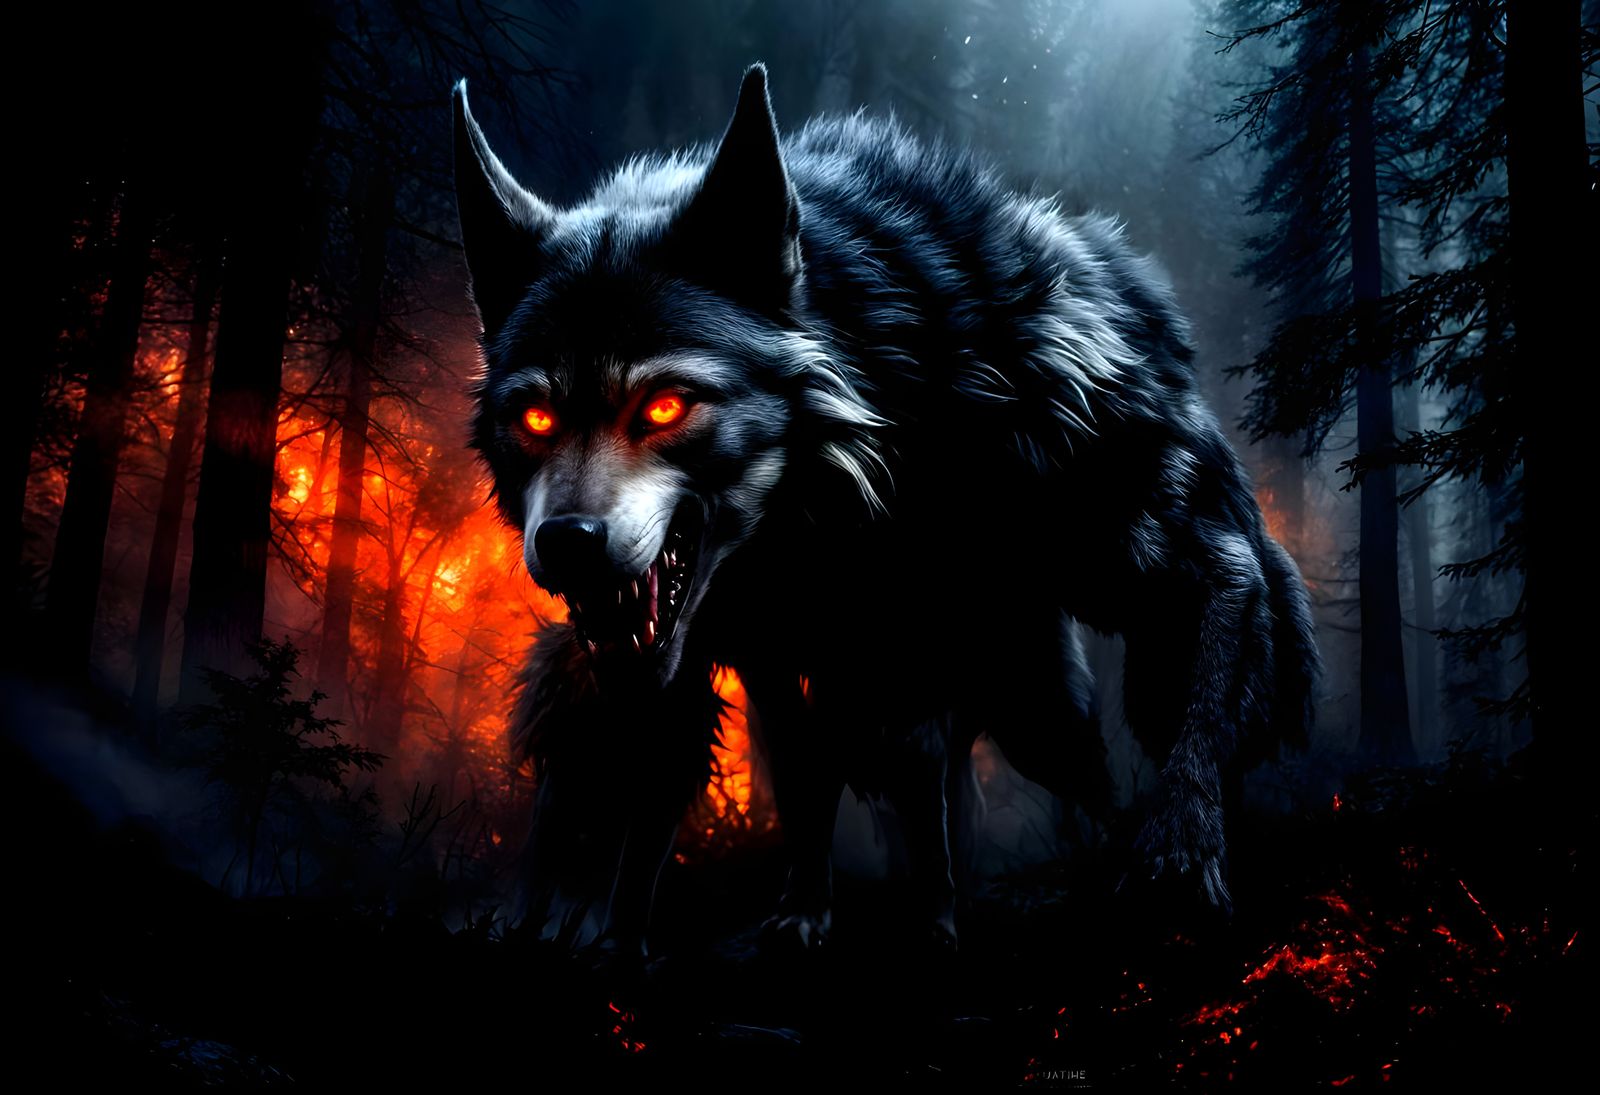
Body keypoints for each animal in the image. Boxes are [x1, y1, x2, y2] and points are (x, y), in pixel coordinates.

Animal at [452, 64, 1318, 956]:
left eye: (664, 406)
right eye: (535, 418)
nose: (567, 542)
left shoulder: (1154, 545)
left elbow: (1208, 647)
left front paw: (1177, 854)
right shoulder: (759, 659)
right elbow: (771, 791)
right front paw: (771, 916)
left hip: (1035, 696)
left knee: (1081, 775)